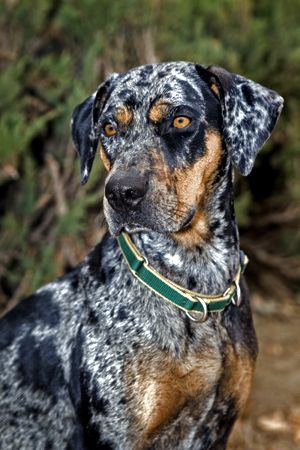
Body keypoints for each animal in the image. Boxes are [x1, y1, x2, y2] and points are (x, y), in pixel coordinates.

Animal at [0, 62, 284, 450]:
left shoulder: (217, 427)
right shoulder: (117, 432)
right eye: (108, 128)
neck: (195, 281)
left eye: (180, 120)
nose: (121, 192)